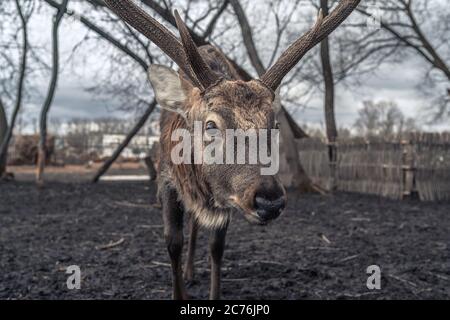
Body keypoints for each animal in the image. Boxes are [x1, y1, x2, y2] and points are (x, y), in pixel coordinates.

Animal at [104, 0, 358, 298]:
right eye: (211, 124)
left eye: (274, 124)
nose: (270, 201)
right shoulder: (166, 180)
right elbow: (173, 242)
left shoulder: (225, 196)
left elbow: (217, 248)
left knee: (196, 224)